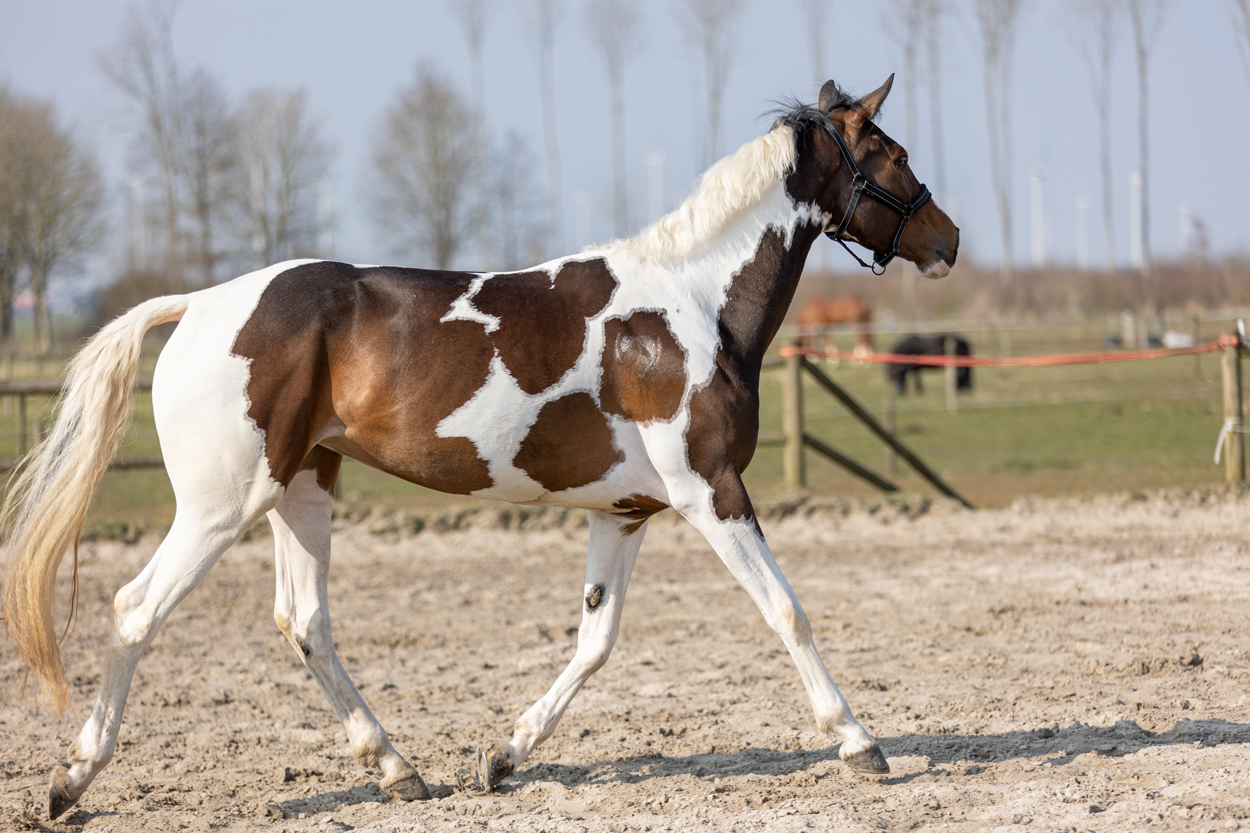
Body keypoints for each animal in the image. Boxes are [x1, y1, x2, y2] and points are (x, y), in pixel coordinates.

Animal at [1, 75, 958, 819]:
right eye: (894, 153)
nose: (947, 238)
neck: (689, 307)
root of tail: (197, 305)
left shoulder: (627, 511)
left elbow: (595, 640)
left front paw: (502, 755)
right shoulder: (710, 490)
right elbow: (786, 610)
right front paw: (860, 742)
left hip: (301, 488)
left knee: (306, 622)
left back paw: (399, 769)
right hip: (218, 505)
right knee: (136, 609)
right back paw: (70, 780)